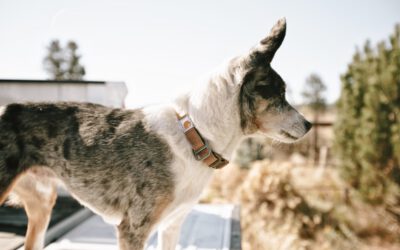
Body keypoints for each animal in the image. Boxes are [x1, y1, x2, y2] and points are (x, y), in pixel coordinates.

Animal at [0, 18, 310, 250]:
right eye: (279, 94)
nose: (309, 124)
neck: (195, 136)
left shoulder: (172, 225)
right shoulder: (133, 228)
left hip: (42, 205)